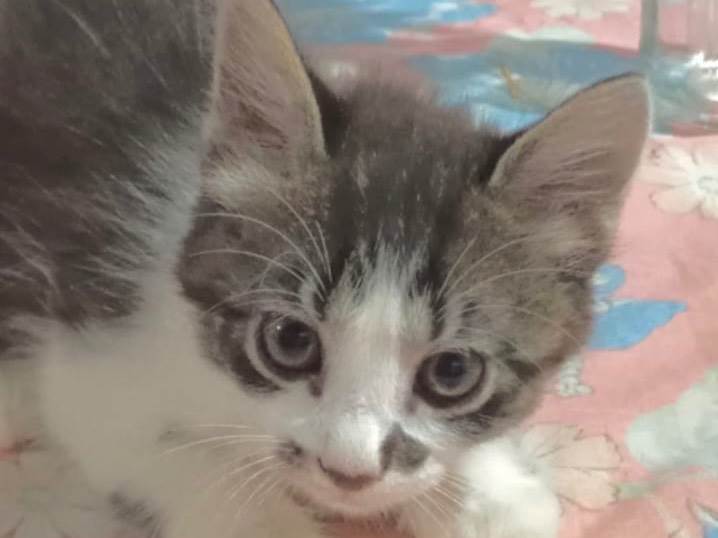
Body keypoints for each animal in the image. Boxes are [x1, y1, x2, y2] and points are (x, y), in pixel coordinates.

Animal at [0, 1, 650, 537]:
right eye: (290, 340)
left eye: (453, 371)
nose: (350, 472)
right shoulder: (93, 359)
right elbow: (175, 464)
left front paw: (486, 493)